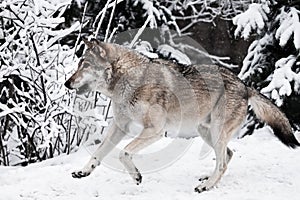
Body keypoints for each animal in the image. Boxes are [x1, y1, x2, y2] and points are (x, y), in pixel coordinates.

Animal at [64, 38, 298, 193]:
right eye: (79, 65)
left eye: (85, 65)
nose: (66, 83)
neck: (128, 79)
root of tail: (245, 86)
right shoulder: (119, 127)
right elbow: (98, 153)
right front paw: (83, 172)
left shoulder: (155, 131)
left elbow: (124, 153)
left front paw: (136, 176)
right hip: (206, 132)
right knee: (228, 155)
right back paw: (208, 178)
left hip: (215, 132)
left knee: (223, 162)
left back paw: (206, 186)